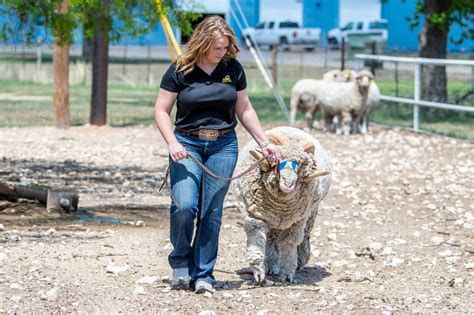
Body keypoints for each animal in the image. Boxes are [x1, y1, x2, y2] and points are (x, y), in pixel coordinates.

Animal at [232, 127, 330, 282]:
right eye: (278, 161)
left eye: (301, 165)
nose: (288, 183)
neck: (280, 206)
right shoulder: (255, 216)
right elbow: (256, 239)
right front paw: (258, 270)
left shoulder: (297, 221)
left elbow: (289, 244)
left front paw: (288, 273)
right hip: (273, 221)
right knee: (271, 239)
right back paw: (271, 266)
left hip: (310, 214)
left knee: (304, 237)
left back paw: (300, 261)